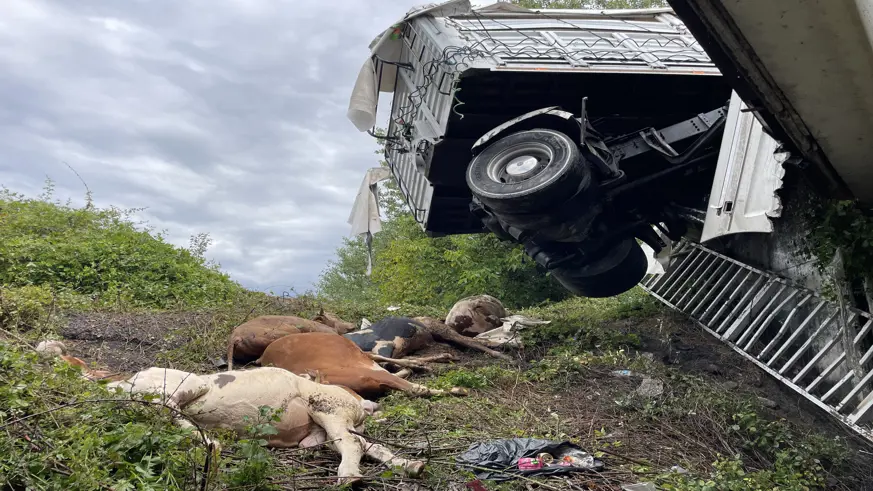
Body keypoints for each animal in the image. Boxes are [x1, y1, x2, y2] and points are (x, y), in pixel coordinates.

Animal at [108, 368, 422, 482]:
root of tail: (360, 405)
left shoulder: (180, 386)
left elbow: (172, 406)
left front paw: (212, 443)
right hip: (333, 420)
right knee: (367, 443)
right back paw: (412, 466)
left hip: (327, 406)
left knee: (352, 443)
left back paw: (348, 477)